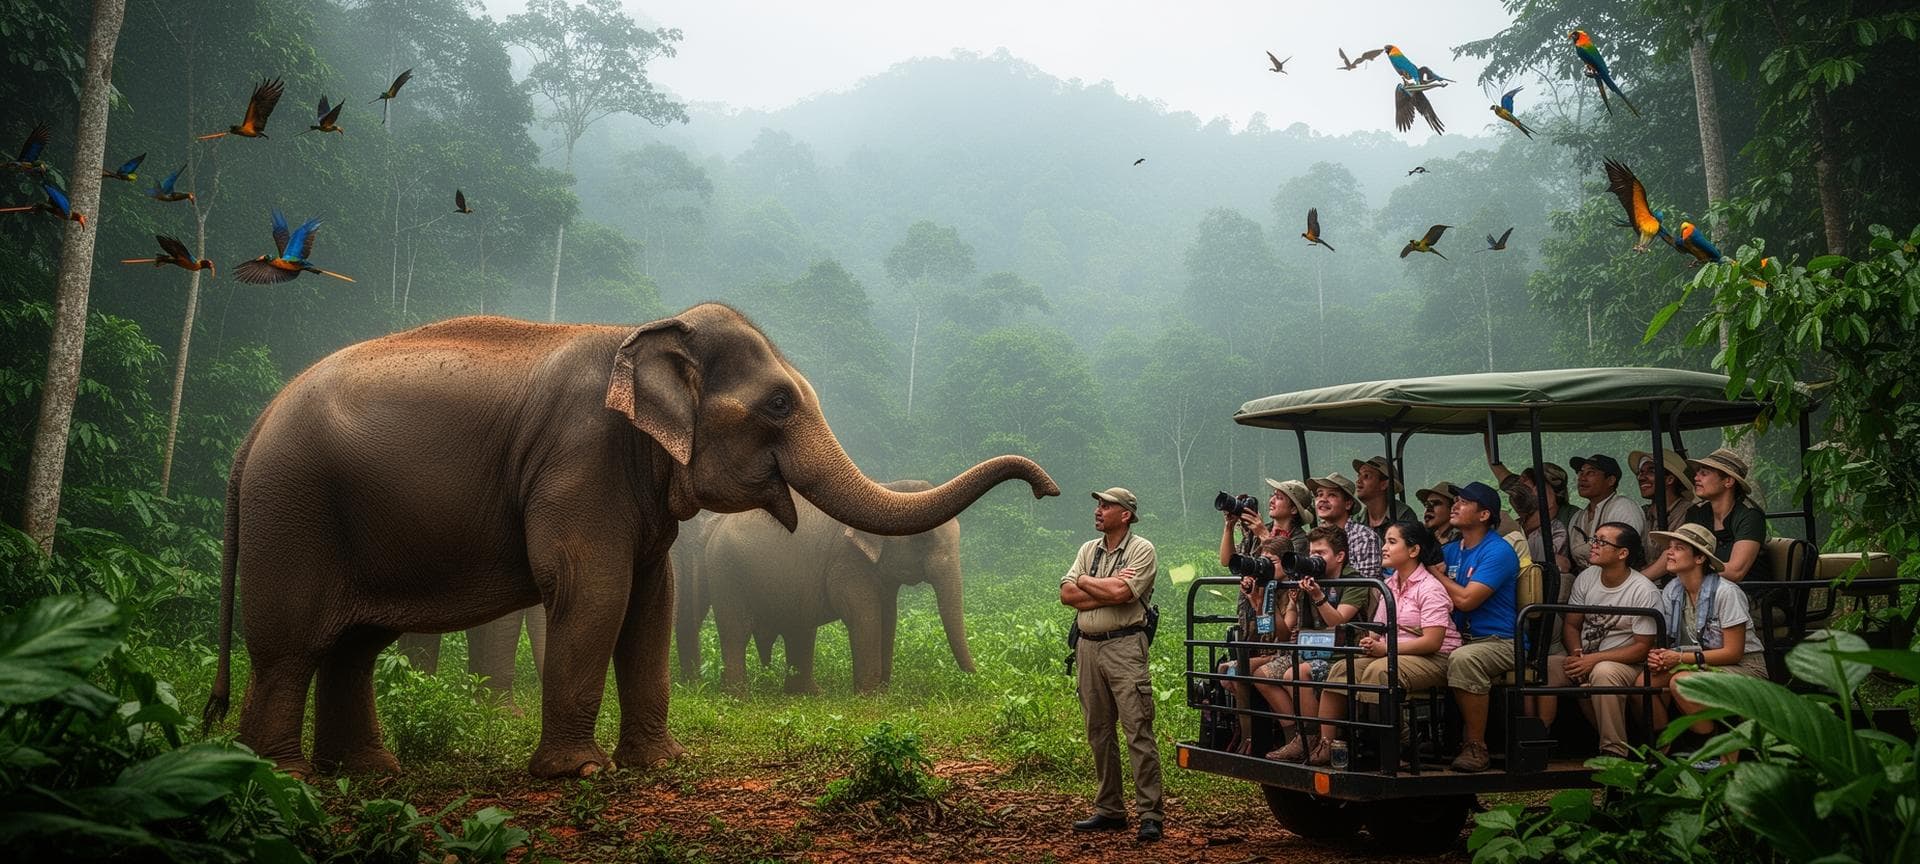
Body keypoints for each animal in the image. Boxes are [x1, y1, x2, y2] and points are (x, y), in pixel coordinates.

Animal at [699, 480, 971, 694]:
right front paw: (869, 695)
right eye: (923, 539)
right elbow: (865, 617)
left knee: (800, 630)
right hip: (724, 572)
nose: (973, 676)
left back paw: (808, 694)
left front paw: (883, 691)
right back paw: (737, 696)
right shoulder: (846, 562)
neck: (885, 489)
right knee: (736, 632)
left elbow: (888, 618)